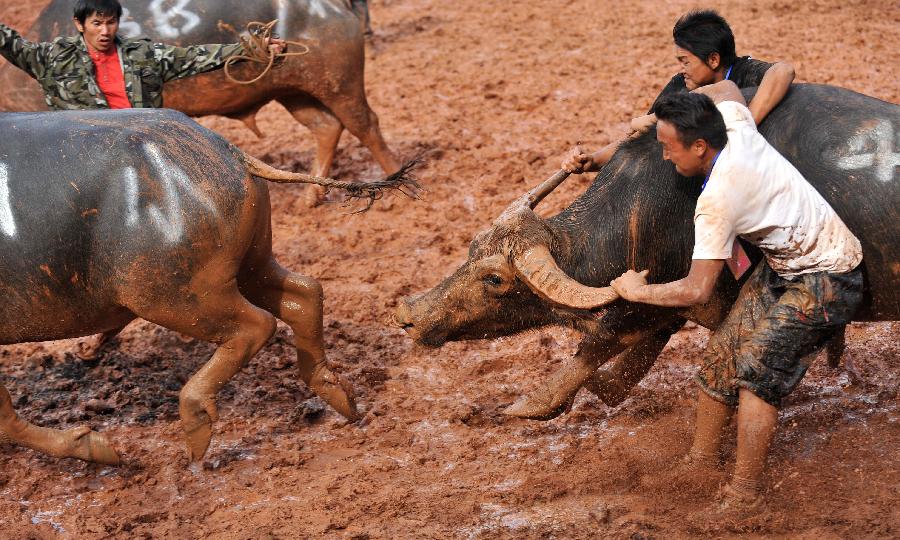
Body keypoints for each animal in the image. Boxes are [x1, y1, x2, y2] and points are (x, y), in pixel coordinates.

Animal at [0, 0, 398, 186]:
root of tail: (335, 6)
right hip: (293, 90)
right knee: (326, 127)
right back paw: (312, 197)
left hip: (339, 81)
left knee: (365, 123)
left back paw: (398, 180)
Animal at [0, 108, 414, 464]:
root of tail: (227, 152)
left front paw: (94, 447)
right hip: (250, 265)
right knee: (305, 294)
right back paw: (339, 395)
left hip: (176, 295)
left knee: (256, 326)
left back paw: (196, 423)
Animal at [398, 84, 896, 420]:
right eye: (471, 249)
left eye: (495, 280)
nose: (409, 314)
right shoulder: (666, 308)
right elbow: (624, 358)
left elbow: (602, 337)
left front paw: (534, 403)